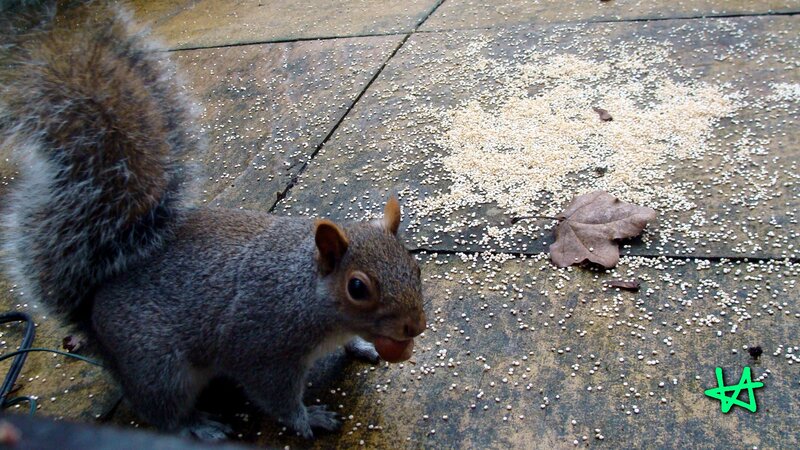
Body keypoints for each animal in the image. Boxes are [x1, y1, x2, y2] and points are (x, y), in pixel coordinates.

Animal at [0, 2, 426, 440]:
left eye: (415, 267)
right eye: (357, 288)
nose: (415, 327)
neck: (306, 291)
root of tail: (92, 314)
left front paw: (361, 345)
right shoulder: (262, 347)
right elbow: (275, 396)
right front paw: (308, 419)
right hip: (158, 369)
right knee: (162, 413)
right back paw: (199, 426)